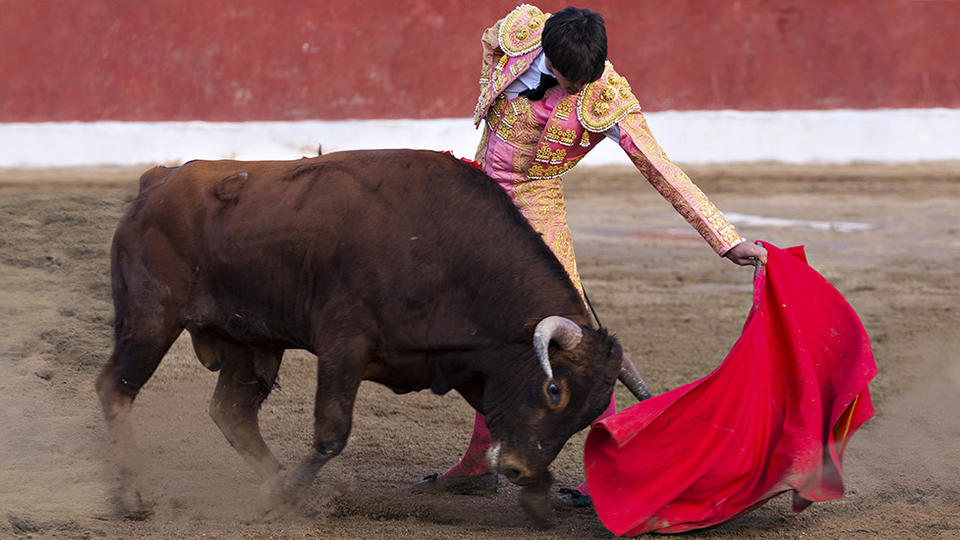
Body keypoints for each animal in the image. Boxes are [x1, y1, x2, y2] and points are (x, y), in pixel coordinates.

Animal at [95, 149, 652, 528]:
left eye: (589, 413)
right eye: (554, 389)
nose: (516, 469)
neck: (447, 251)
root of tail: (157, 180)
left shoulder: (469, 362)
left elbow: (499, 416)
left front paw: (539, 496)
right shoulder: (344, 345)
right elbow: (332, 432)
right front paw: (285, 497)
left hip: (250, 343)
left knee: (232, 412)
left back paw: (272, 482)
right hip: (149, 319)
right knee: (116, 388)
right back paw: (137, 497)